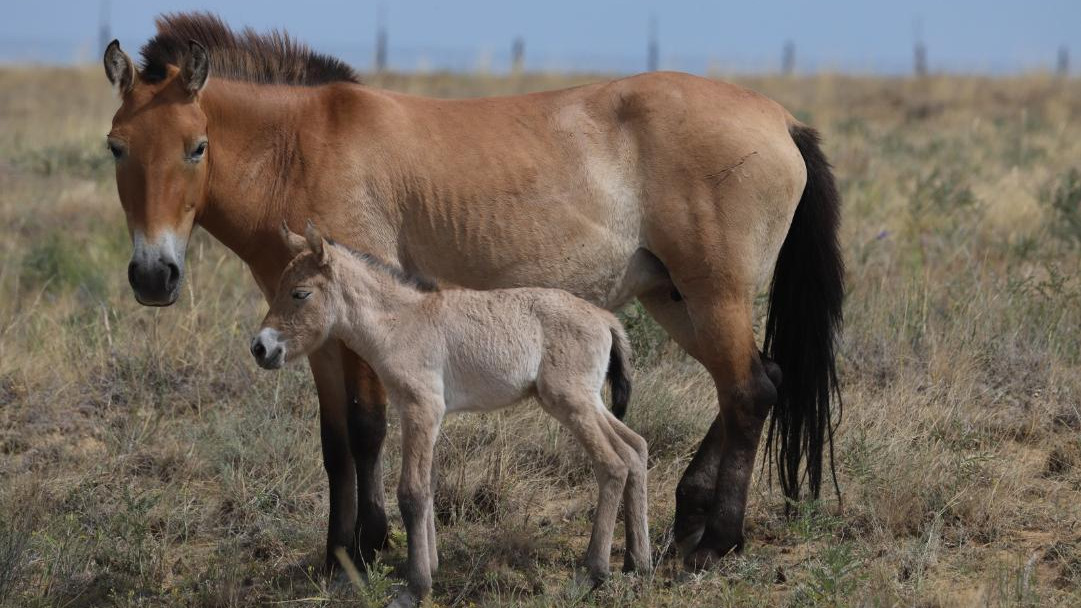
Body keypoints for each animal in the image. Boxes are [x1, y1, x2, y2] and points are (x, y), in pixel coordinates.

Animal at [250, 222, 649, 603]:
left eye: (300, 293)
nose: (260, 348)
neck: (400, 323)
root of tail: (605, 317)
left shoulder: (422, 408)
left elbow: (411, 492)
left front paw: (415, 587)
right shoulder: (419, 413)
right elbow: (427, 487)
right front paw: (431, 568)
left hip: (571, 401)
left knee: (613, 464)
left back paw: (593, 573)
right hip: (588, 401)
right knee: (635, 449)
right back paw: (637, 562)